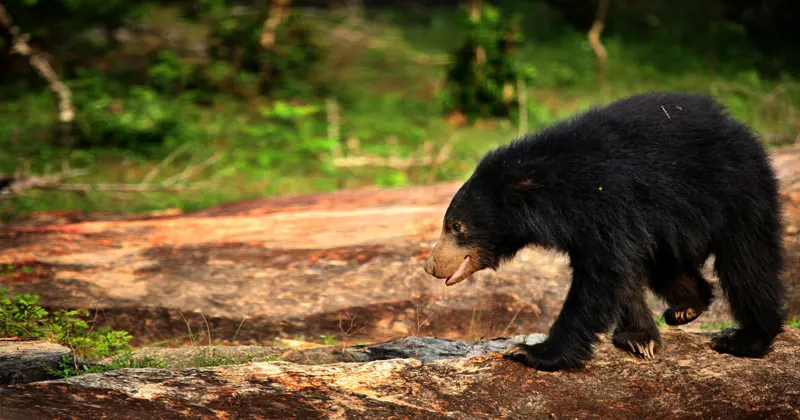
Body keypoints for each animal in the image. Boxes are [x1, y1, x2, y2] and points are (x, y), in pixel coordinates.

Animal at [423, 92, 785, 372]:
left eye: (456, 226)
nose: (430, 266)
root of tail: (739, 128)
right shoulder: (596, 222)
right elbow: (620, 273)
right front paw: (640, 340)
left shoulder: (608, 199)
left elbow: (602, 275)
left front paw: (531, 352)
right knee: (665, 264)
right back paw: (686, 307)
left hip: (736, 190)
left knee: (748, 262)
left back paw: (745, 338)